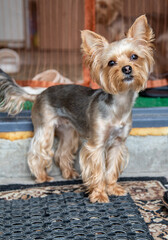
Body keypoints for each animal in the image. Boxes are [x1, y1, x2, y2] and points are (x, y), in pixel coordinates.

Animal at [0, 15, 154, 202]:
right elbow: (98, 171)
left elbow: (111, 170)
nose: (126, 68)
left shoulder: (118, 144)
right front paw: (99, 194)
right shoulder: (95, 145)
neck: (118, 106)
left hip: (68, 132)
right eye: (111, 63)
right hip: (45, 129)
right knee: (37, 153)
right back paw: (42, 177)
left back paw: (68, 173)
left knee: (61, 153)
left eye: (134, 56)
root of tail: (39, 93)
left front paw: (112, 189)